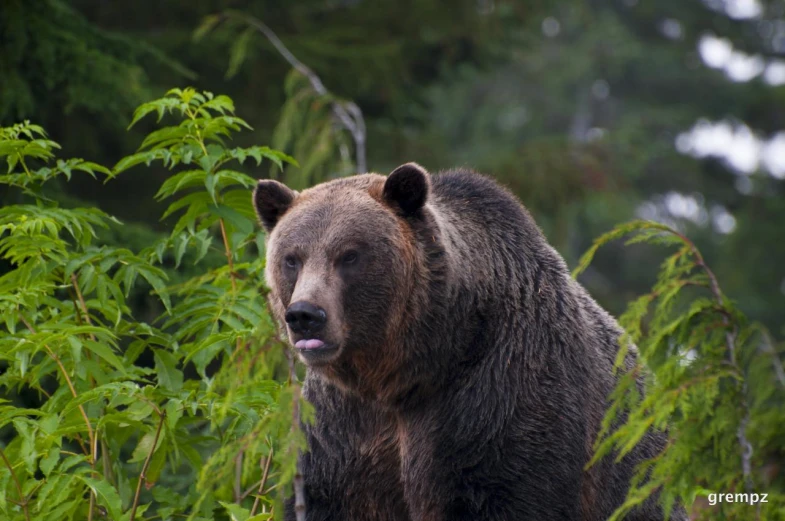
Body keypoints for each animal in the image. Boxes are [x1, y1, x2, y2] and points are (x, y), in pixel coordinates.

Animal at [254, 164, 684, 520]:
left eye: (350, 255)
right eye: (292, 258)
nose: (306, 315)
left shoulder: (496, 394)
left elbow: (508, 489)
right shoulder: (342, 428)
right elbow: (329, 495)